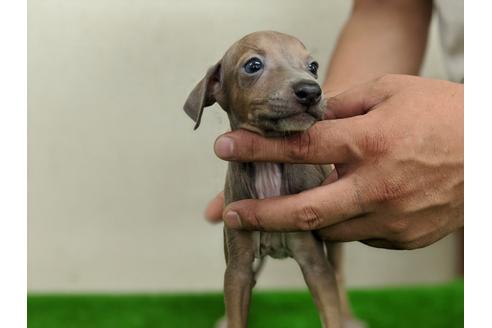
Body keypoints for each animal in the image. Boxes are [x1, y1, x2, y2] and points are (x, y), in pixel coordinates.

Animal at [184, 30, 362, 328]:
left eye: (313, 67)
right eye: (253, 65)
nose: (311, 91)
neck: (267, 170)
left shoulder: (315, 262)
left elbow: (330, 303)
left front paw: (339, 317)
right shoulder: (238, 264)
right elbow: (237, 305)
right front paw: (230, 319)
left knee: (339, 275)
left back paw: (350, 318)